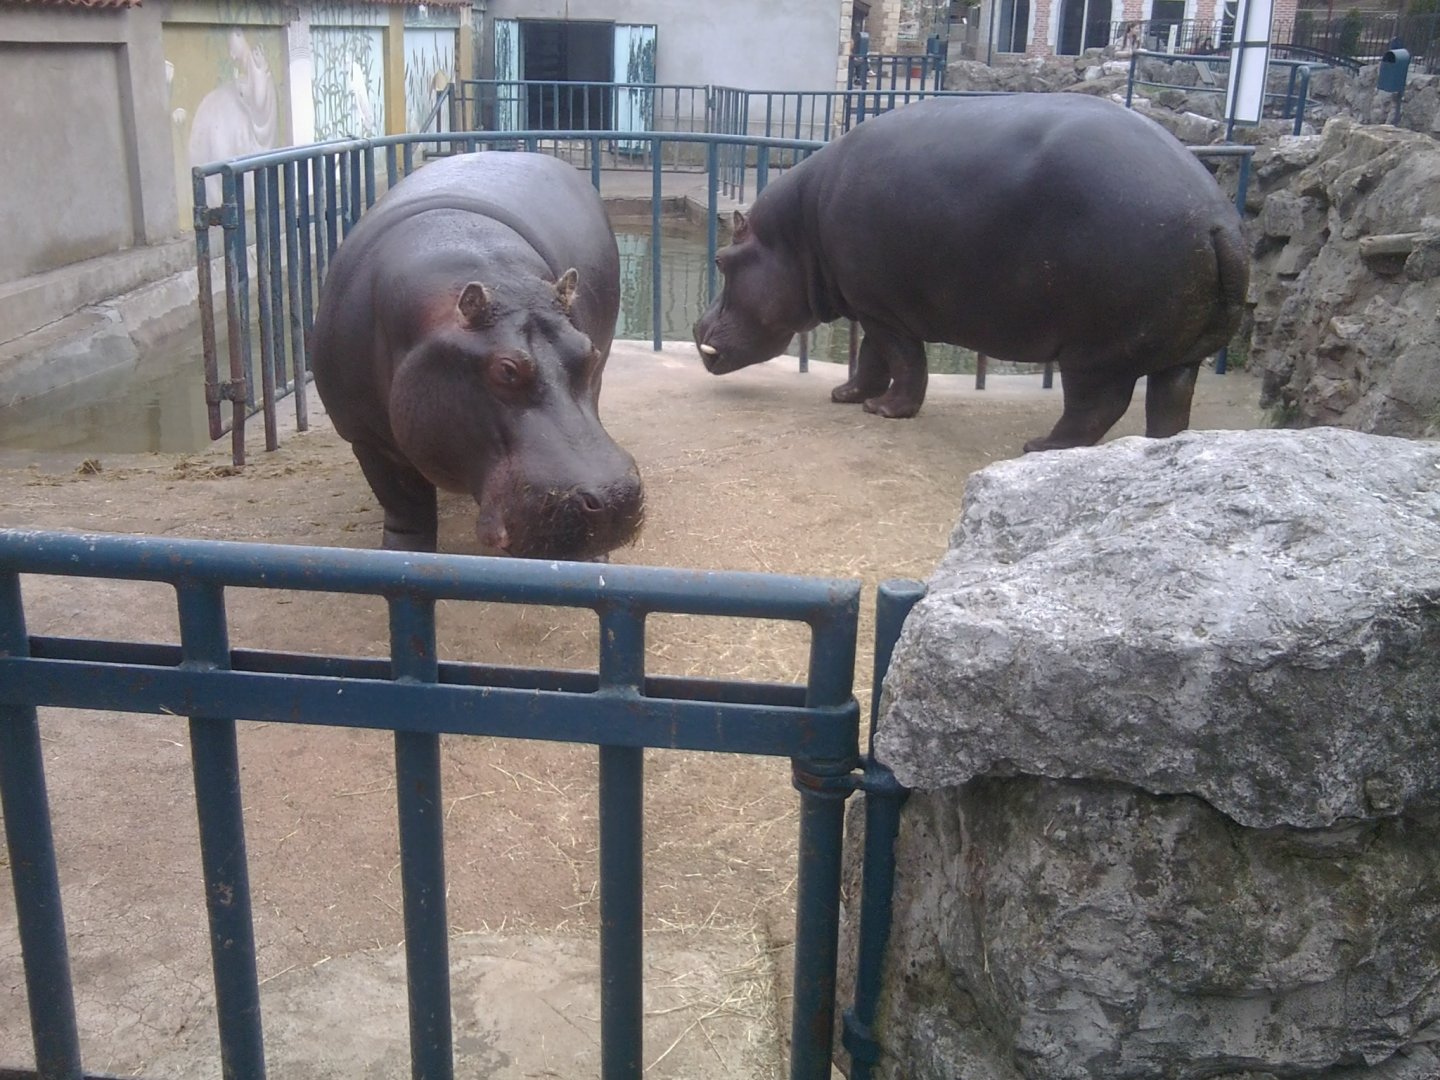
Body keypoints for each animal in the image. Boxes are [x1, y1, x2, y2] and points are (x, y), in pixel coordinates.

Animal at [311, 152, 643, 559]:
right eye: (506, 370)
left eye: (588, 352)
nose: (616, 497)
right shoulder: (367, 438)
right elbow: (405, 509)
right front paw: (402, 554)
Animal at [692, 94, 1249, 451]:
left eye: (721, 261)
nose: (697, 326)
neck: (796, 233)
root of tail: (1217, 219)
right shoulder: (875, 308)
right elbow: (873, 357)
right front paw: (846, 397)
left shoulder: (884, 311)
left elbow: (904, 361)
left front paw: (885, 411)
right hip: (1181, 354)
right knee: (1171, 405)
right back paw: (1157, 453)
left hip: (1096, 352)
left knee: (1096, 407)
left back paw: (1041, 446)